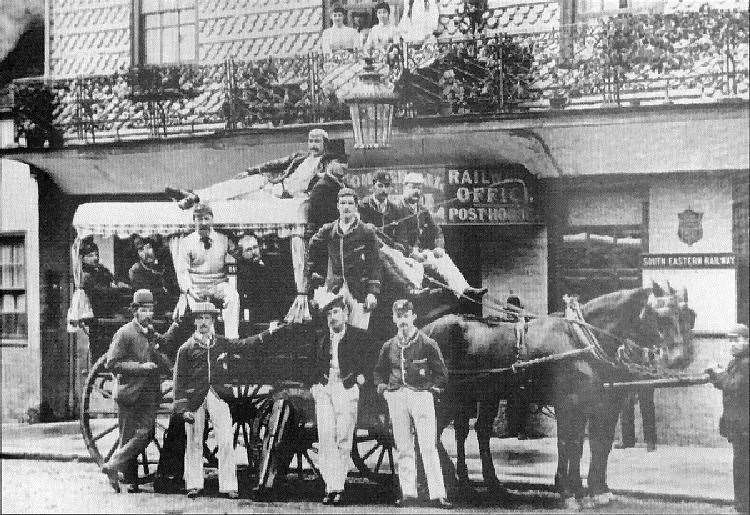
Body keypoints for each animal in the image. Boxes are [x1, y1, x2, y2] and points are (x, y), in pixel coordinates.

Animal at [424, 284, 700, 510]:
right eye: (660, 316)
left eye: (691, 315)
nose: (682, 357)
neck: (582, 340)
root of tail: (428, 327)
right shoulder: (571, 404)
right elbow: (572, 445)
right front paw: (571, 493)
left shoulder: (601, 404)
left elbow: (598, 445)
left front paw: (597, 491)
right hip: (445, 397)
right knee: (432, 434)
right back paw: (445, 484)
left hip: (481, 395)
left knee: (473, 431)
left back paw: (483, 485)